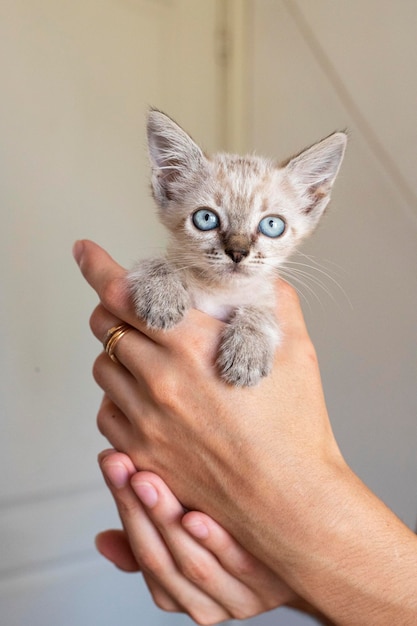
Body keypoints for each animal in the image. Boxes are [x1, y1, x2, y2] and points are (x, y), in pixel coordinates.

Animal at [128, 111, 346, 386]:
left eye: (272, 225)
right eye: (206, 218)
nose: (238, 253)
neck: (220, 292)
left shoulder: (264, 296)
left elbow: (263, 312)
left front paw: (248, 352)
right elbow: (154, 262)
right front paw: (162, 296)